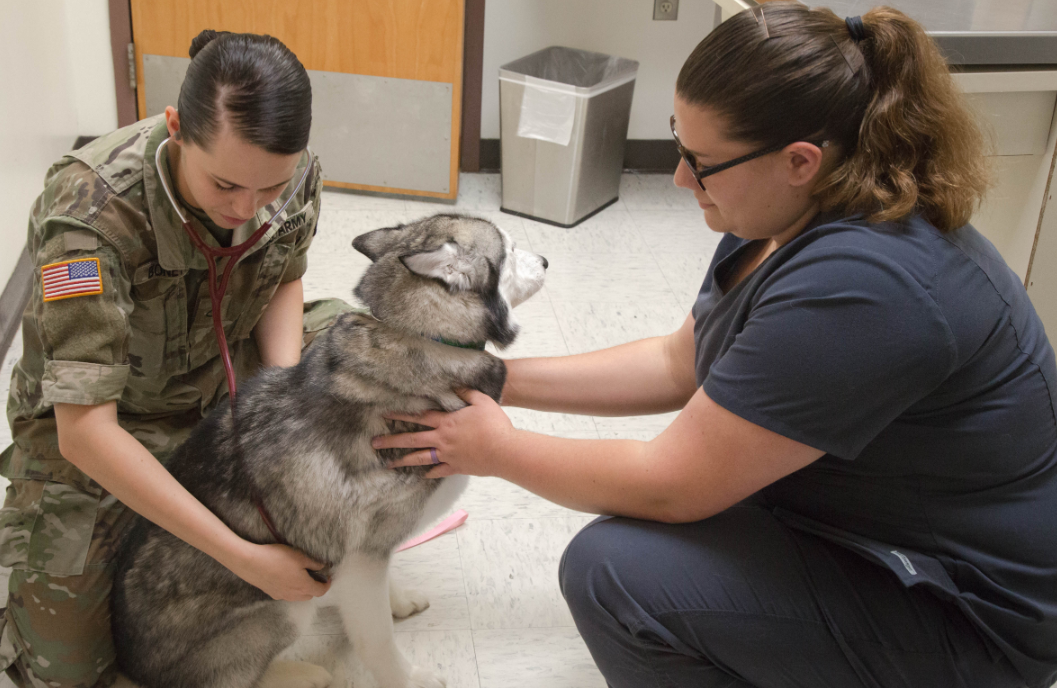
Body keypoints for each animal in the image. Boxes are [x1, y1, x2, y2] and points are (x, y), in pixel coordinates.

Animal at [112, 215, 549, 688]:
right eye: (510, 248)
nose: (546, 260)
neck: (418, 336)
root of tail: (128, 665)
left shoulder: (367, 557)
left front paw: (397, 600)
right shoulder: (360, 557)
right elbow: (378, 641)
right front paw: (409, 679)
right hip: (285, 606)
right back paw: (300, 673)